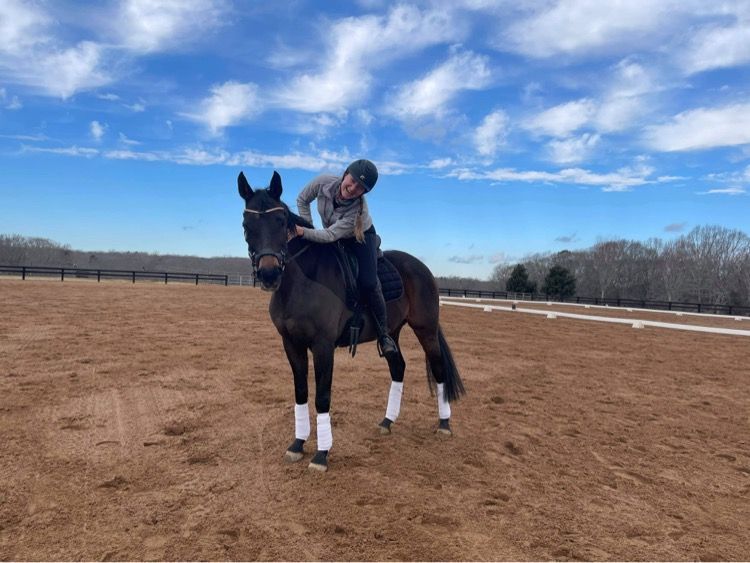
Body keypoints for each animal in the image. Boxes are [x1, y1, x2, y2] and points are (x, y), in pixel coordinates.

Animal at [239, 171, 464, 472]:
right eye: (247, 224)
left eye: (281, 222)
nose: (269, 274)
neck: (301, 282)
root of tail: (421, 267)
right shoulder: (291, 344)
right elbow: (301, 392)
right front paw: (298, 444)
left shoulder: (323, 346)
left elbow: (322, 396)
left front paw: (321, 455)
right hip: (391, 332)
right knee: (398, 367)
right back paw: (387, 422)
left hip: (425, 329)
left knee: (438, 369)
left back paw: (443, 424)